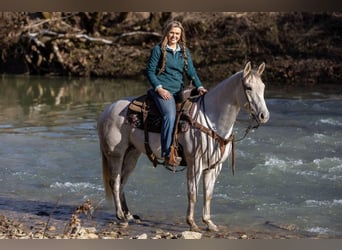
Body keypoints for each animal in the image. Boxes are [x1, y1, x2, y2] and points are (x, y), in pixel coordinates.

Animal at [97, 61, 270, 231]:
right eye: (248, 87)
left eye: (263, 87)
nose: (264, 116)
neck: (210, 119)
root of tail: (108, 110)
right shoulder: (195, 163)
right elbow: (192, 193)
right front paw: (192, 223)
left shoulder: (214, 166)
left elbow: (208, 194)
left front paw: (209, 223)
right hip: (116, 155)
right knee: (115, 182)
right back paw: (120, 216)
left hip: (132, 154)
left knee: (123, 182)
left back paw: (129, 215)